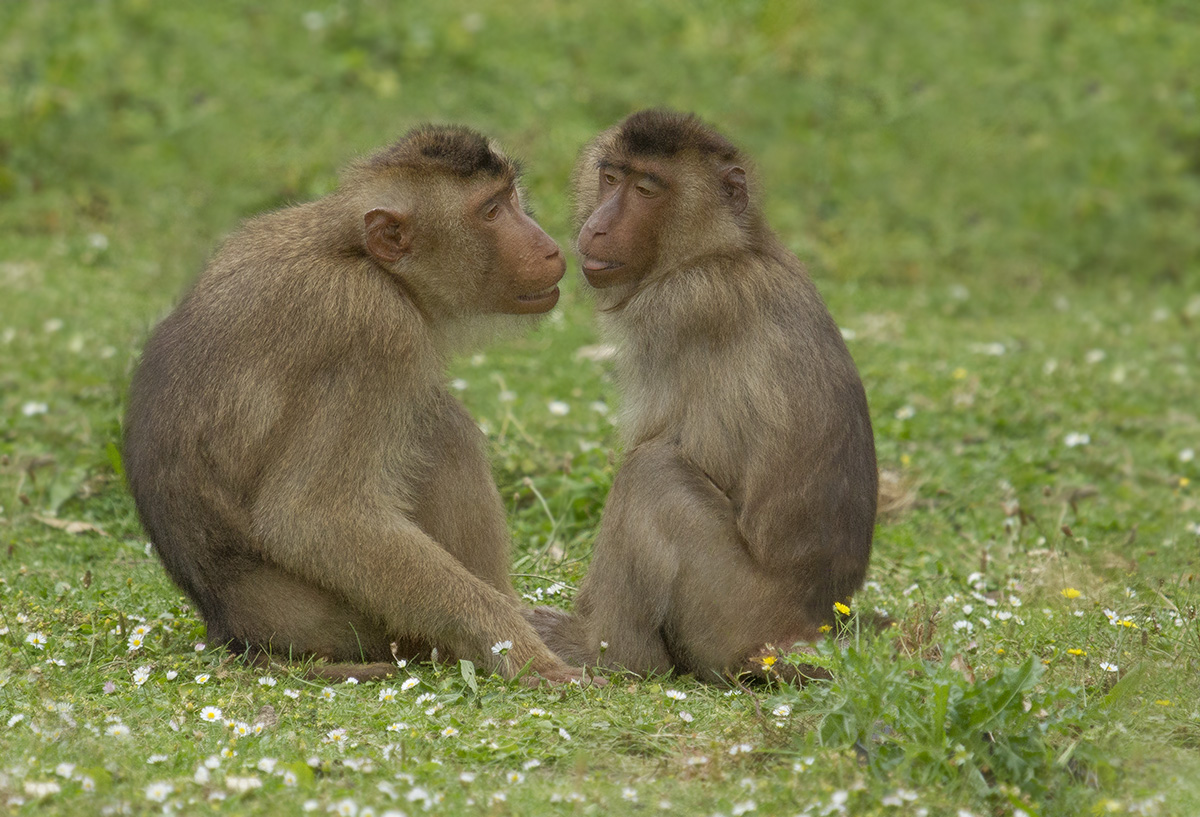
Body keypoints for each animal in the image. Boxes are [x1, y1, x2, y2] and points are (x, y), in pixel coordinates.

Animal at [125, 125, 595, 681]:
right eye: (491, 211)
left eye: (510, 198)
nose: (549, 247)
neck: (352, 250)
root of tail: (234, 632)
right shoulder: (373, 326)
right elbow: (314, 518)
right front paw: (519, 650)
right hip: (345, 625)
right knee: (439, 428)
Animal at [530, 108, 878, 681]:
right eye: (610, 177)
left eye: (646, 189)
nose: (595, 226)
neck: (724, 248)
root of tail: (809, 629)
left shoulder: (674, 309)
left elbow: (650, 448)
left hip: (733, 614)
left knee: (651, 472)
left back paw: (611, 651)